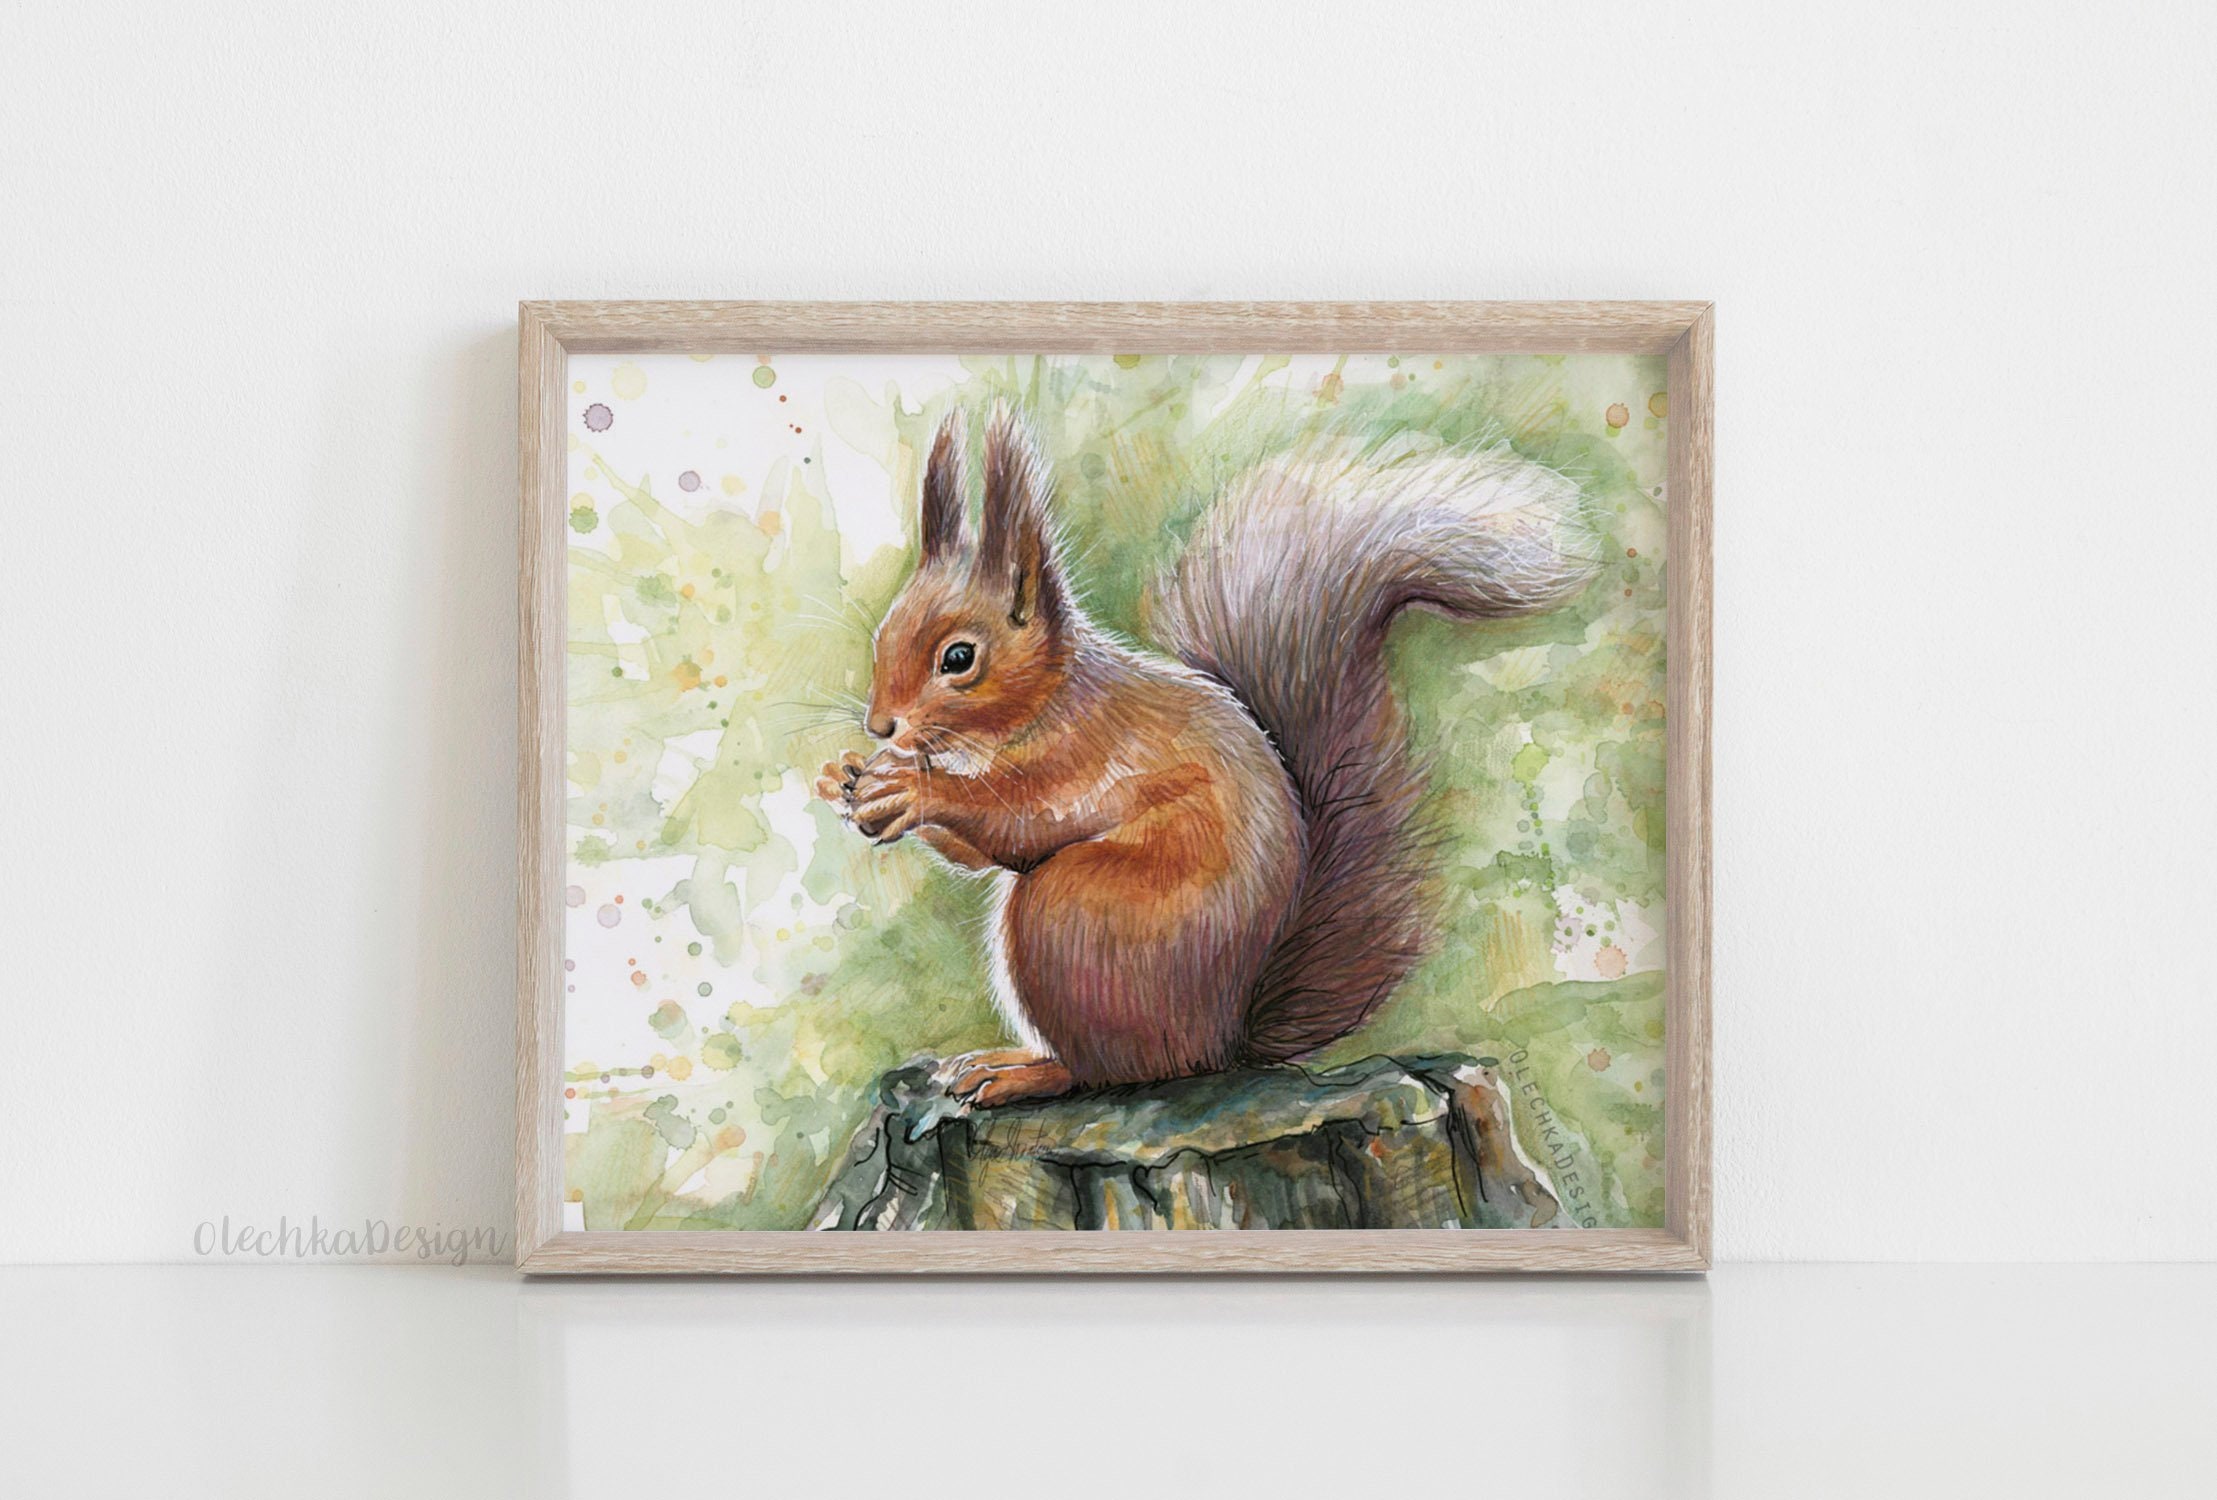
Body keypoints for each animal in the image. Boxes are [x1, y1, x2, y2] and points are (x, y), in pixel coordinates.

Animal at [815, 406, 1594, 1109]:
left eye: (958, 658)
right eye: (884, 633)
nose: (880, 724)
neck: (1048, 702)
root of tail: (1221, 1040)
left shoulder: (1088, 757)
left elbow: (1020, 823)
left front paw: (910, 791)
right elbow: (975, 856)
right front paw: (846, 779)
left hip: (1067, 919)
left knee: (1110, 1070)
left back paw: (1028, 1075)